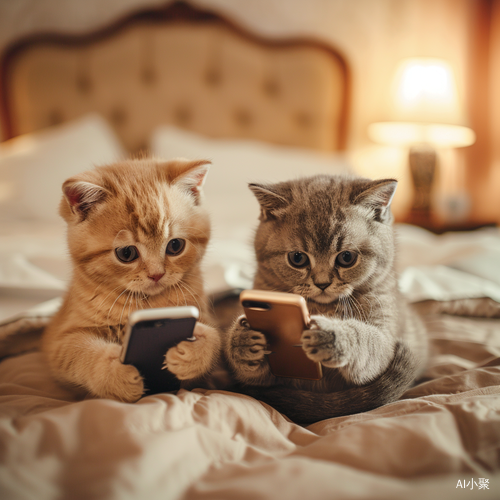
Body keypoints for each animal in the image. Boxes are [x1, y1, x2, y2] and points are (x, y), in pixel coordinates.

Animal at [43, 158, 221, 400]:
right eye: (126, 253)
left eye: (175, 246)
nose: (157, 274)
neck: (147, 304)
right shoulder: (59, 340)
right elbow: (81, 354)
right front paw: (113, 373)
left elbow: (214, 339)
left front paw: (196, 350)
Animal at [225, 174, 428, 424]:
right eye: (297, 258)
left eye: (347, 257)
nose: (322, 283)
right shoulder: (265, 381)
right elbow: (254, 377)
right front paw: (242, 340)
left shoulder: (386, 340)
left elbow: (367, 341)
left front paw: (333, 337)